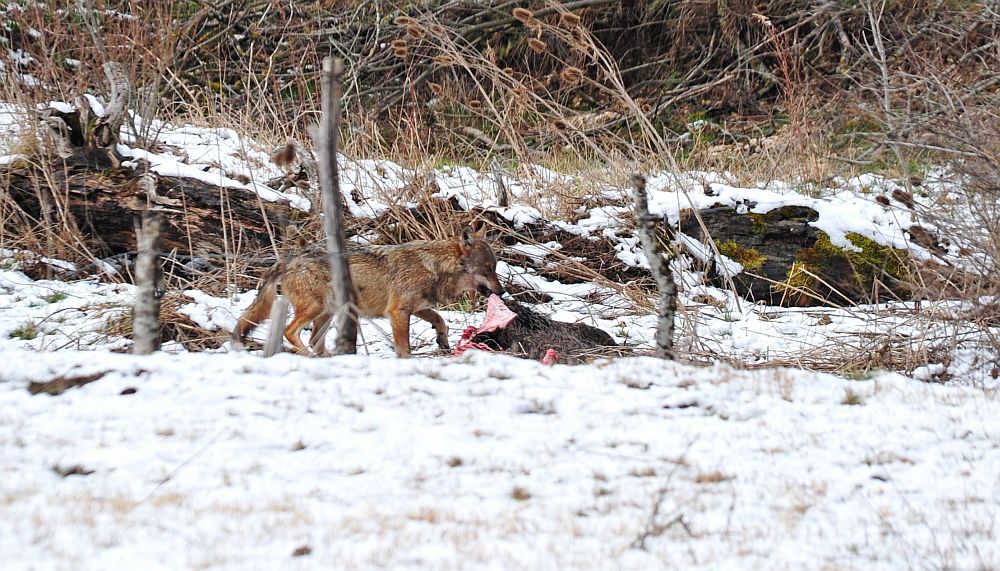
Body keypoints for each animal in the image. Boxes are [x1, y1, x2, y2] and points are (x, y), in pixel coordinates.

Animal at [231, 227, 504, 358]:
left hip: (328, 313)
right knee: (291, 332)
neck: (434, 267)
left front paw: (443, 341)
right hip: (316, 309)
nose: (501, 292)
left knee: (314, 340)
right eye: (488, 268)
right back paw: (309, 356)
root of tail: (287, 260)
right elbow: (404, 346)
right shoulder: (398, 311)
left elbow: (441, 321)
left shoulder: (419, 307)